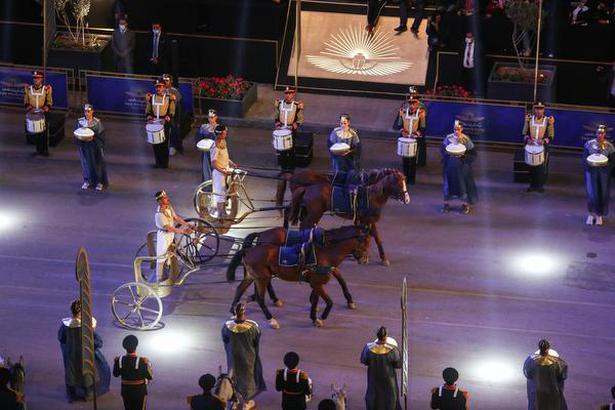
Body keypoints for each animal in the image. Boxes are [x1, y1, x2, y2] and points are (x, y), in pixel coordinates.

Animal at [227, 226, 368, 328]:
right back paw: (272, 319)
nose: (365, 260)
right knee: (260, 298)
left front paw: (314, 316)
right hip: (262, 278)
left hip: (252, 276)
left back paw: (235, 310)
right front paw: (321, 319)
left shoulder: (317, 282)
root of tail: (248, 250)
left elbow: (322, 295)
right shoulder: (317, 283)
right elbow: (329, 302)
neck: (327, 252)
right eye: (365, 244)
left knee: (240, 289)